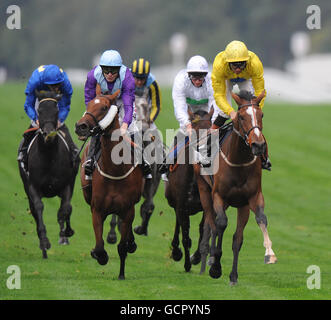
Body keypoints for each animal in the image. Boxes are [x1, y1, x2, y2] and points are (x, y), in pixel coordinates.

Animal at [18, 89, 80, 258]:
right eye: (39, 110)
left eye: (56, 110)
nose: (49, 133)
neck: (49, 157)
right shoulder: (33, 186)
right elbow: (38, 207)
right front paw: (45, 242)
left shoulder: (66, 185)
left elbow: (65, 209)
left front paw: (65, 236)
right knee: (34, 210)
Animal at [74, 93, 143, 280]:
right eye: (89, 104)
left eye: (104, 107)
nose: (81, 126)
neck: (115, 169)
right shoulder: (97, 209)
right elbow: (99, 246)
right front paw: (99, 256)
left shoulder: (128, 209)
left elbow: (122, 247)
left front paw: (121, 274)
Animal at [165, 107, 214, 272]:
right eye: (195, 130)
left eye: (210, 130)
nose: (204, 151)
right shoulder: (181, 206)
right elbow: (185, 235)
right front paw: (186, 263)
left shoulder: (207, 206)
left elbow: (203, 229)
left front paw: (196, 257)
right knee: (178, 224)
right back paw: (176, 251)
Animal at [195, 89, 278, 284]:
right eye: (241, 117)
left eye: (261, 115)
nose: (258, 145)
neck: (238, 162)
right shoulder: (218, 196)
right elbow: (221, 224)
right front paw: (216, 267)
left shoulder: (250, 199)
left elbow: (250, 229)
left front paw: (269, 254)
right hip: (205, 192)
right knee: (212, 223)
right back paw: (209, 260)